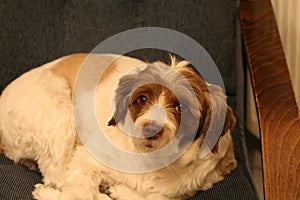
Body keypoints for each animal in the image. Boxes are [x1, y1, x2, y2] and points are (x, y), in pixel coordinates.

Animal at [1, 54, 238, 199]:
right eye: (142, 99)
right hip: (59, 112)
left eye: (182, 107)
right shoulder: (85, 159)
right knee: (55, 173)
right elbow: (79, 192)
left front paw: (117, 190)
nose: (151, 128)